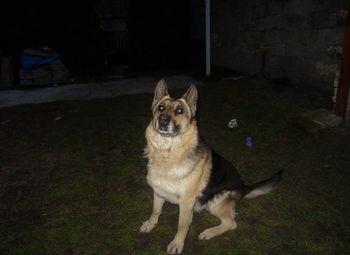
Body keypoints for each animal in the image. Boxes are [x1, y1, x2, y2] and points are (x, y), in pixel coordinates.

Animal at [139, 80, 282, 255]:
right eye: (160, 108)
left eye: (179, 110)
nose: (163, 119)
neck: (167, 154)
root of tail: (243, 186)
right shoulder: (158, 192)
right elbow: (156, 210)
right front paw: (151, 223)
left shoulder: (186, 203)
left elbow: (182, 226)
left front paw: (177, 243)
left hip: (215, 203)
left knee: (231, 223)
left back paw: (209, 232)